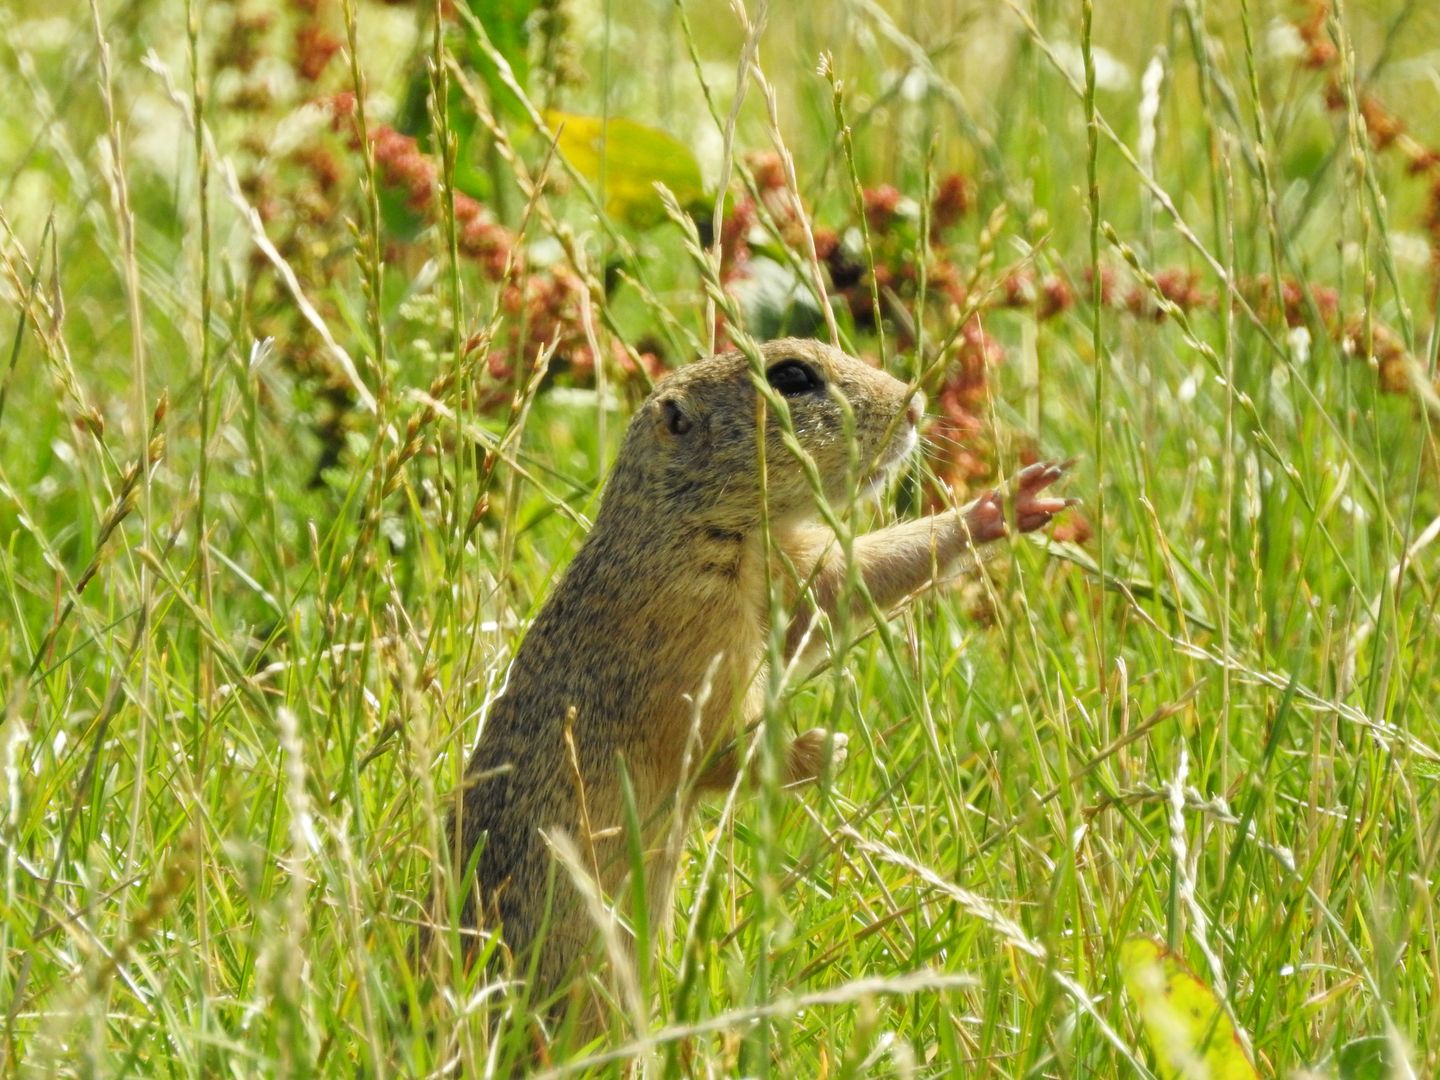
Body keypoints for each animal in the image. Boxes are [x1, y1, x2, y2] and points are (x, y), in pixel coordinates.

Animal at [446, 338, 1071, 1025]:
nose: (916, 406)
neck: (689, 527)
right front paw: (823, 751)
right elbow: (712, 751)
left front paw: (1005, 504)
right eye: (792, 377)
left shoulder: (788, 565)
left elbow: (845, 583)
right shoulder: (691, 642)